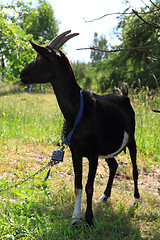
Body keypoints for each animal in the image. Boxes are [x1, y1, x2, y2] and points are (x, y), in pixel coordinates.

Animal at [20, 30, 140, 227]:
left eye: (40, 57)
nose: (22, 73)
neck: (78, 111)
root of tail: (125, 96)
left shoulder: (92, 153)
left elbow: (89, 186)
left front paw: (89, 219)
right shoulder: (75, 151)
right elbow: (77, 185)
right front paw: (75, 218)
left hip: (131, 140)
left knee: (134, 169)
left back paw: (136, 199)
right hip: (107, 148)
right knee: (114, 165)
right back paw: (105, 197)